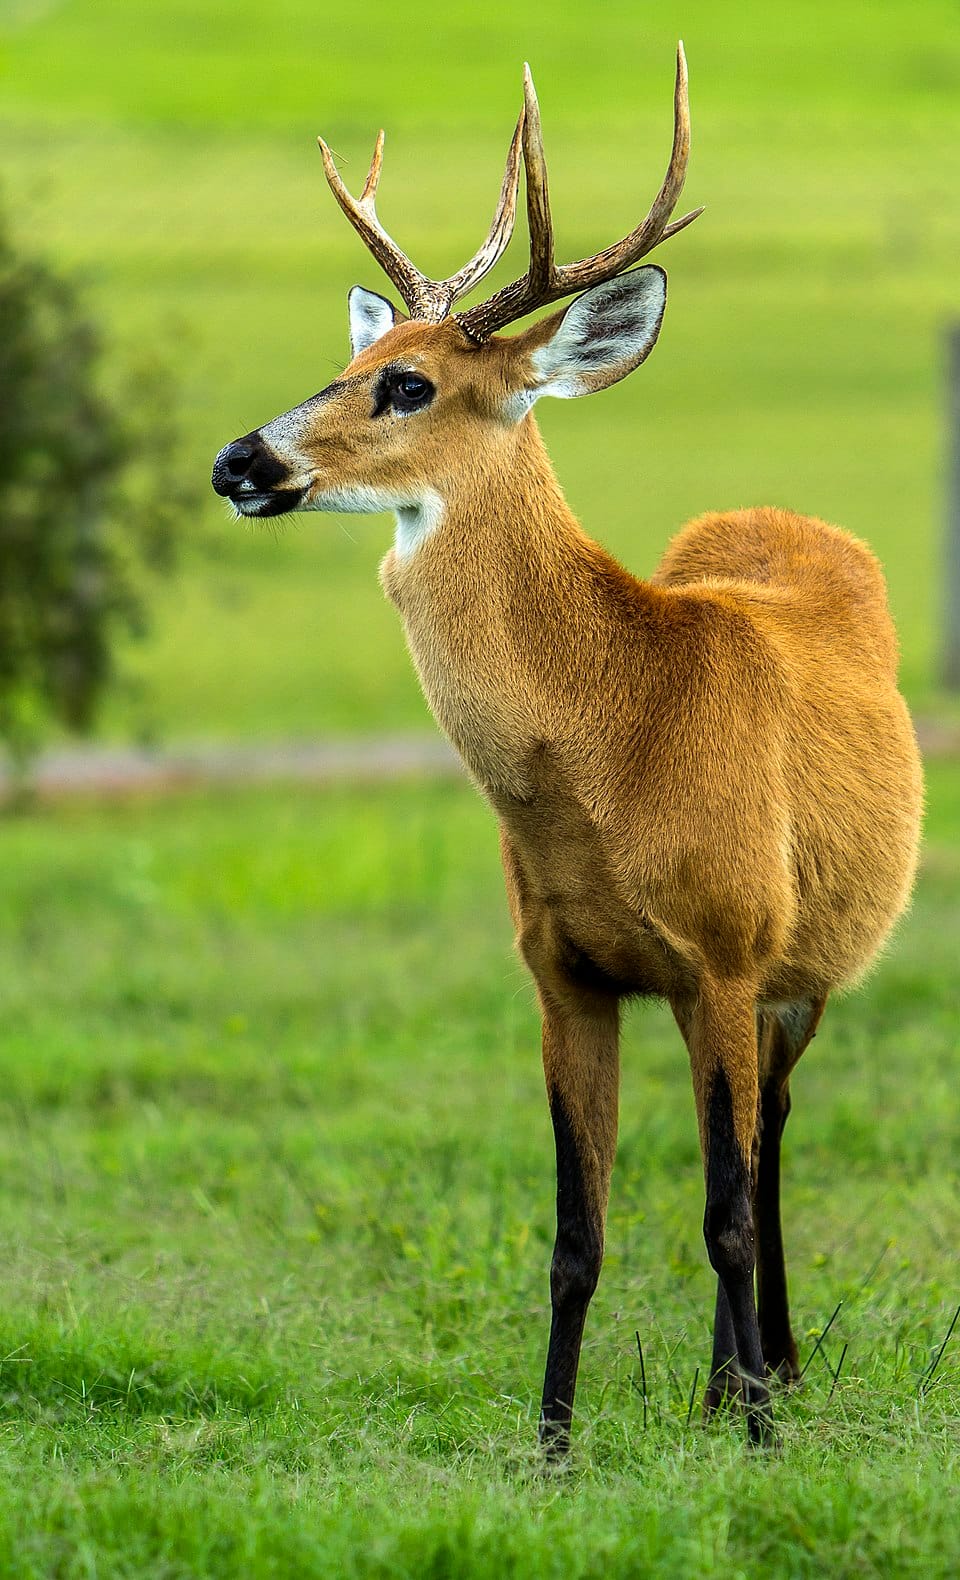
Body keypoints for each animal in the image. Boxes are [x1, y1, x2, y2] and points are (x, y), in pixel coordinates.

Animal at [211, 45, 923, 1454]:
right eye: (349, 357)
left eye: (408, 383)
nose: (237, 460)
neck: (614, 744)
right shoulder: (561, 969)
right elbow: (575, 1232)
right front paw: (552, 1446)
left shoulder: (726, 949)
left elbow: (723, 1208)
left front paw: (761, 1443)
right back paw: (730, 1377)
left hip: (802, 967)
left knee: (767, 1149)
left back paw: (766, 1376)